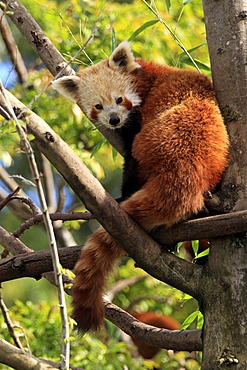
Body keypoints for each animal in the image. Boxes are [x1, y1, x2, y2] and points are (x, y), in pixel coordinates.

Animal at [52, 41, 230, 332]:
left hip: (152, 147)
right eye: (98, 106)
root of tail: (183, 171)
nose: (114, 120)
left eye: (119, 99)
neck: (147, 75)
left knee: (136, 164)